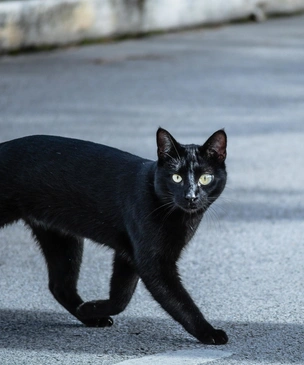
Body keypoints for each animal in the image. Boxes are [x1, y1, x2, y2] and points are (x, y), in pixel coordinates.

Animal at [0, 127, 228, 344]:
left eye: (205, 178)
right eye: (176, 177)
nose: (191, 196)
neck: (180, 218)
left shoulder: (128, 255)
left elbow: (121, 297)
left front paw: (89, 308)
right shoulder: (153, 262)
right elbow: (180, 301)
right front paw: (209, 333)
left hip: (60, 238)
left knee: (60, 286)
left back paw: (89, 317)